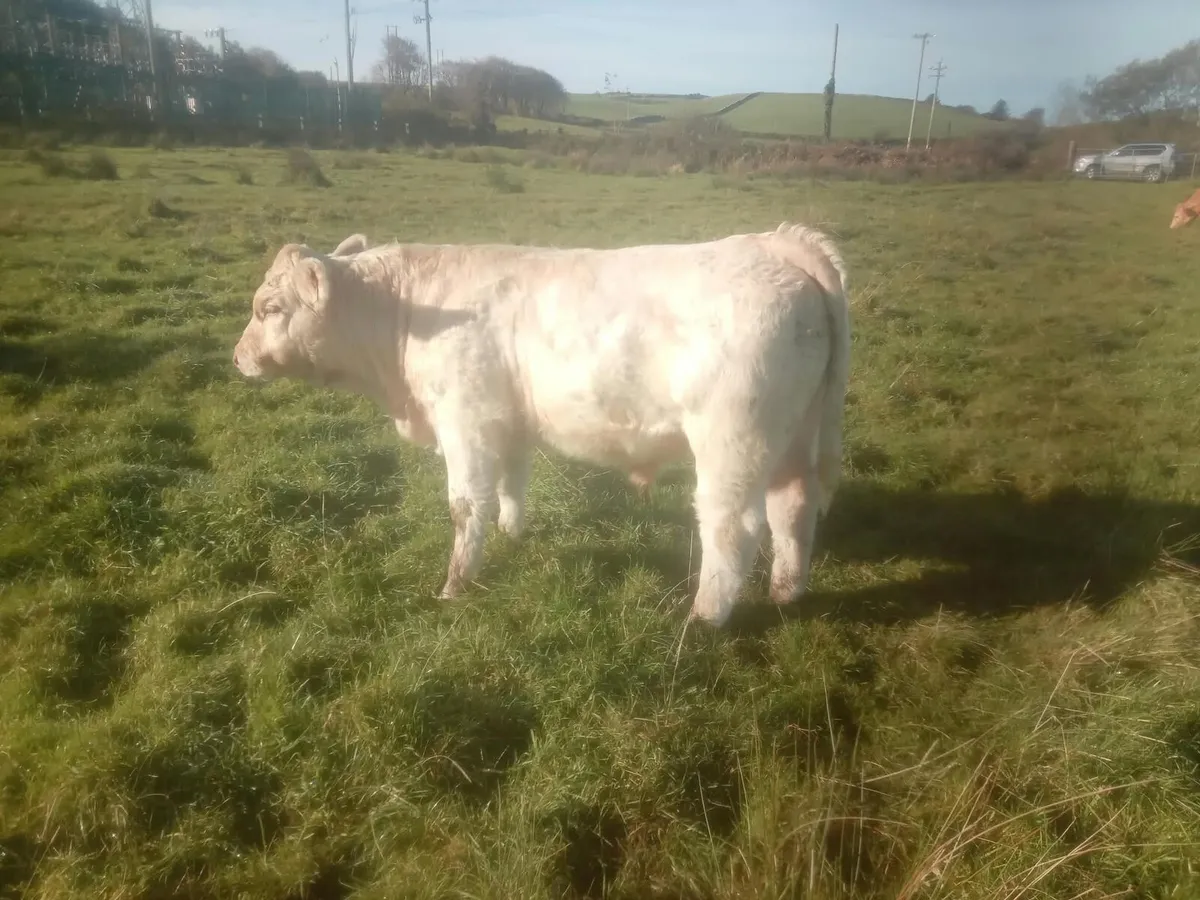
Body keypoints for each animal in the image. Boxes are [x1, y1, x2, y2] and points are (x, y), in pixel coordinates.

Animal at [232, 224, 851, 627]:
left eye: (270, 309)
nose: (237, 358)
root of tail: (774, 243)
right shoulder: (505, 422)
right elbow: (511, 484)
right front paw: (512, 535)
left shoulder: (465, 420)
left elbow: (465, 506)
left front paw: (456, 585)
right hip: (795, 437)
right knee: (793, 507)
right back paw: (786, 592)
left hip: (733, 441)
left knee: (733, 527)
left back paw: (704, 617)